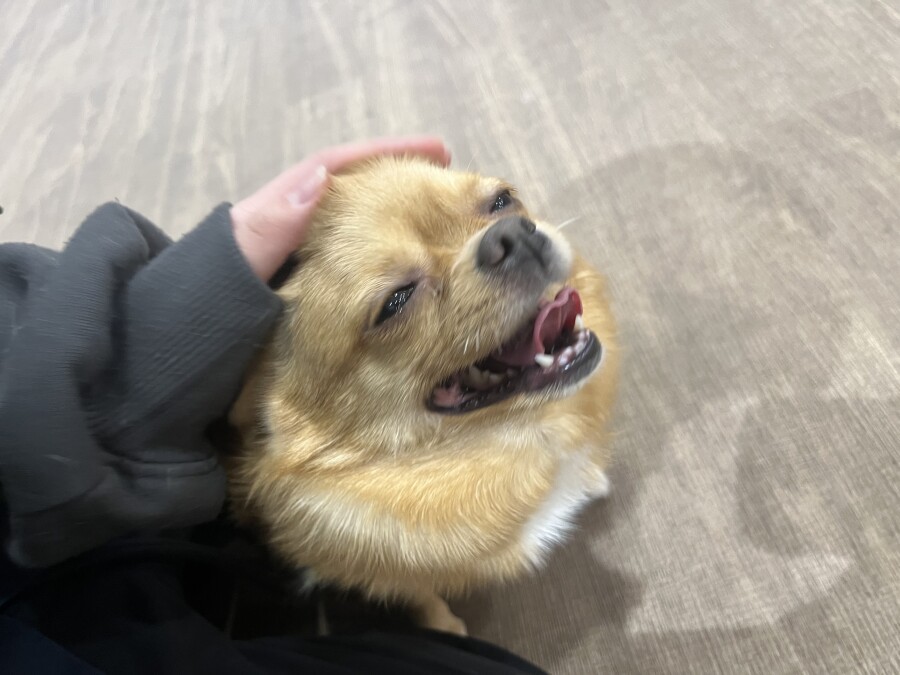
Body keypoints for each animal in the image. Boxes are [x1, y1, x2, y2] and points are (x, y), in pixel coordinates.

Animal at [228, 157, 617, 635]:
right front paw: (444, 626)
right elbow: (420, 591)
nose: (511, 234)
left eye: (501, 201)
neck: (519, 432)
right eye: (397, 301)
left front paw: (591, 475)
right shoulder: (377, 572)